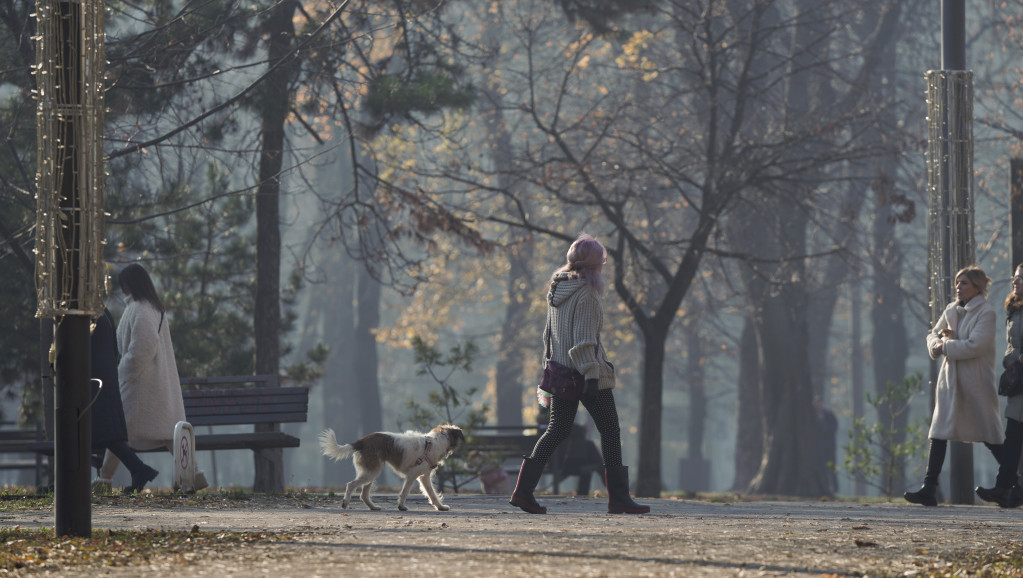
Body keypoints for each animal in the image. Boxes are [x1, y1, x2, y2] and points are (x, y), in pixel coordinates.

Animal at [317, 421, 466, 511]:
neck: (435, 442)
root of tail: (361, 442)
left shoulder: (424, 477)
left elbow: (432, 493)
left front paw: (440, 507)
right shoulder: (412, 475)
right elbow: (405, 492)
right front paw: (401, 506)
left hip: (371, 472)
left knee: (364, 494)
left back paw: (373, 507)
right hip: (371, 472)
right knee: (351, 485)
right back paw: (345, 503)